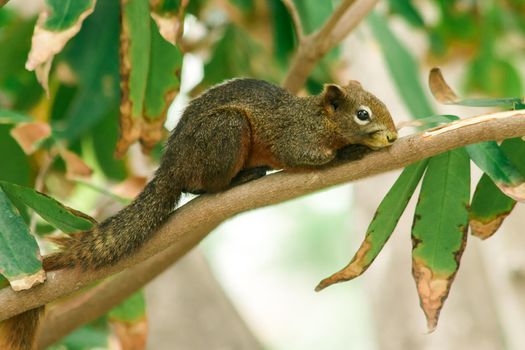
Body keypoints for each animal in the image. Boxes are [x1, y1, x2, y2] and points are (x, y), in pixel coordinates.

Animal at [0, 78, 392, 348]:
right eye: (362, 114)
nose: (391, 137)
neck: (319, 118)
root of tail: (170, 168)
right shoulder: (295, 139)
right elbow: (305, 156)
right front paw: (354, 150)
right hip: (226, 132)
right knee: (205, 186)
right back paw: (240, 178)